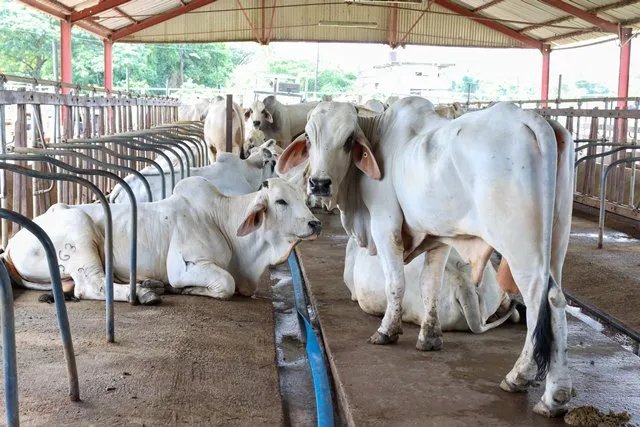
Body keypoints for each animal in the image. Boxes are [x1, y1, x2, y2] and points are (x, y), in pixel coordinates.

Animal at [4, 177, 321, 303]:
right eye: (281, 201)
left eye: (301, 197)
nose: (315, 224)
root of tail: (9, 245)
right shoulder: (185, 266)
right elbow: (225, 285)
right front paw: (187, 290)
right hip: (79, 232)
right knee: (92, 286)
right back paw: (143, 293)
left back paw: (149, 284)